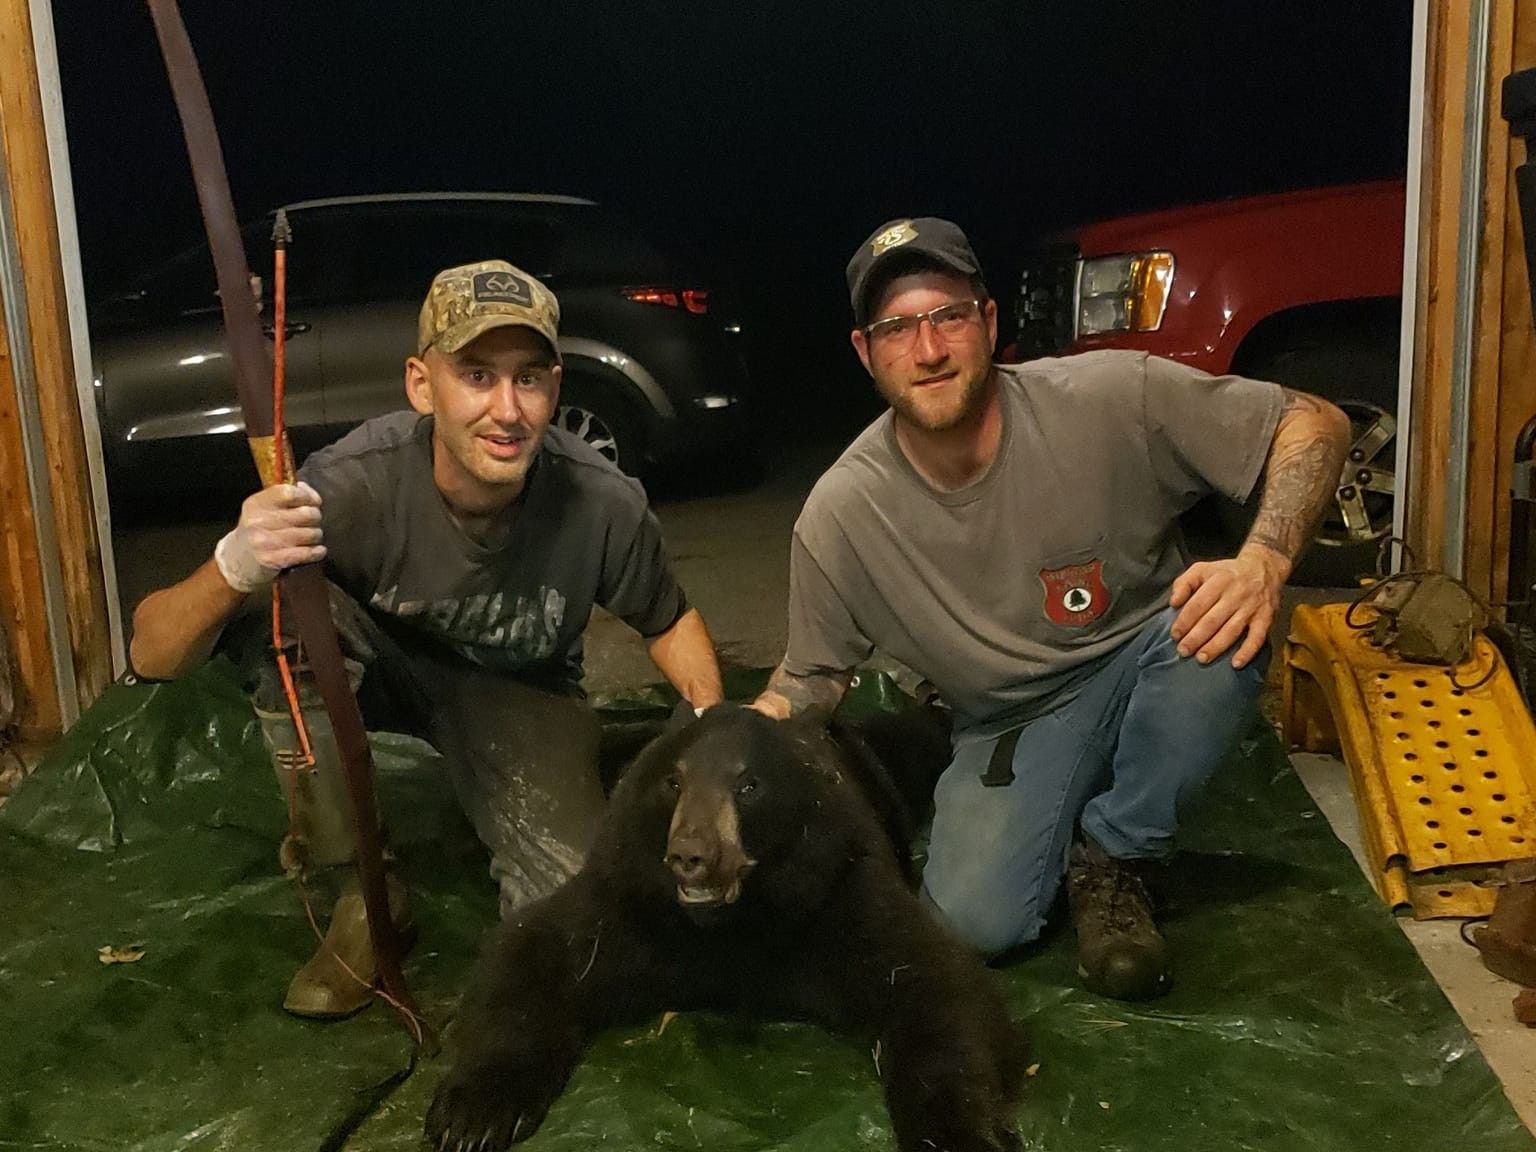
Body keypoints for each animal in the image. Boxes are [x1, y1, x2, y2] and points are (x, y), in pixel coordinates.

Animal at [425, 702, 1028, 1152]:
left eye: (748, 786)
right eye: (673, 782)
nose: (691, 854)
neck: (729, 927)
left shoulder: (838, 895)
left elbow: (933, 980)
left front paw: (958, 1134)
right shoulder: (628, 903)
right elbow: (531, 954)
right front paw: (471, 1114)